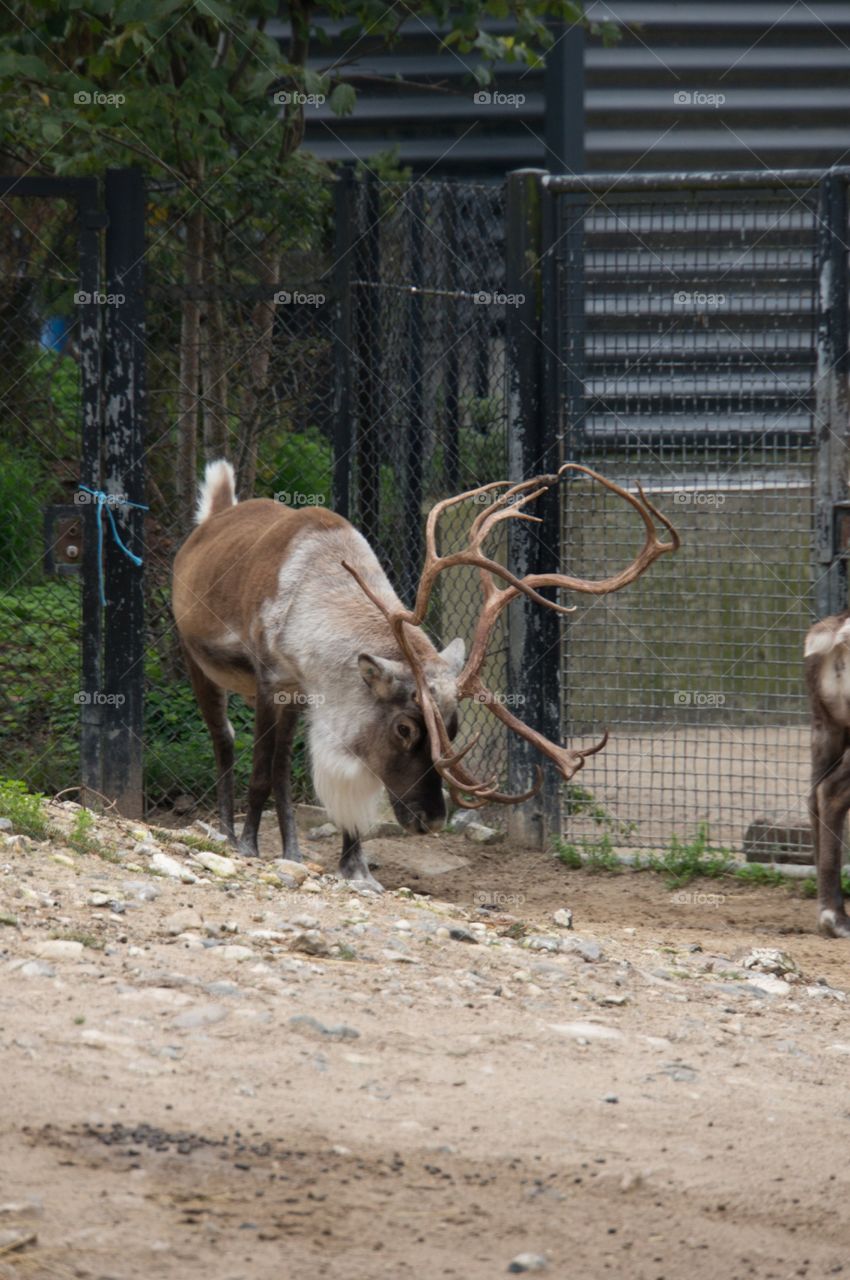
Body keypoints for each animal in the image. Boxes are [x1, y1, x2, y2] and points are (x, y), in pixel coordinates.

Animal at [172, 458, 678, 891]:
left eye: (452, 730)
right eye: (405, 728)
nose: (433, 820)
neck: (309, 610)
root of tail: (212, 517)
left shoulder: (303, 696)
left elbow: (337, 794)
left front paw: (357, 869)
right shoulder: (271, 680)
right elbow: (260, 771)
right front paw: (248, 847)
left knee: (278, 767)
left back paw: (291, 851)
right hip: (197, 660)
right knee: (226, 739)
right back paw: (227, 832)